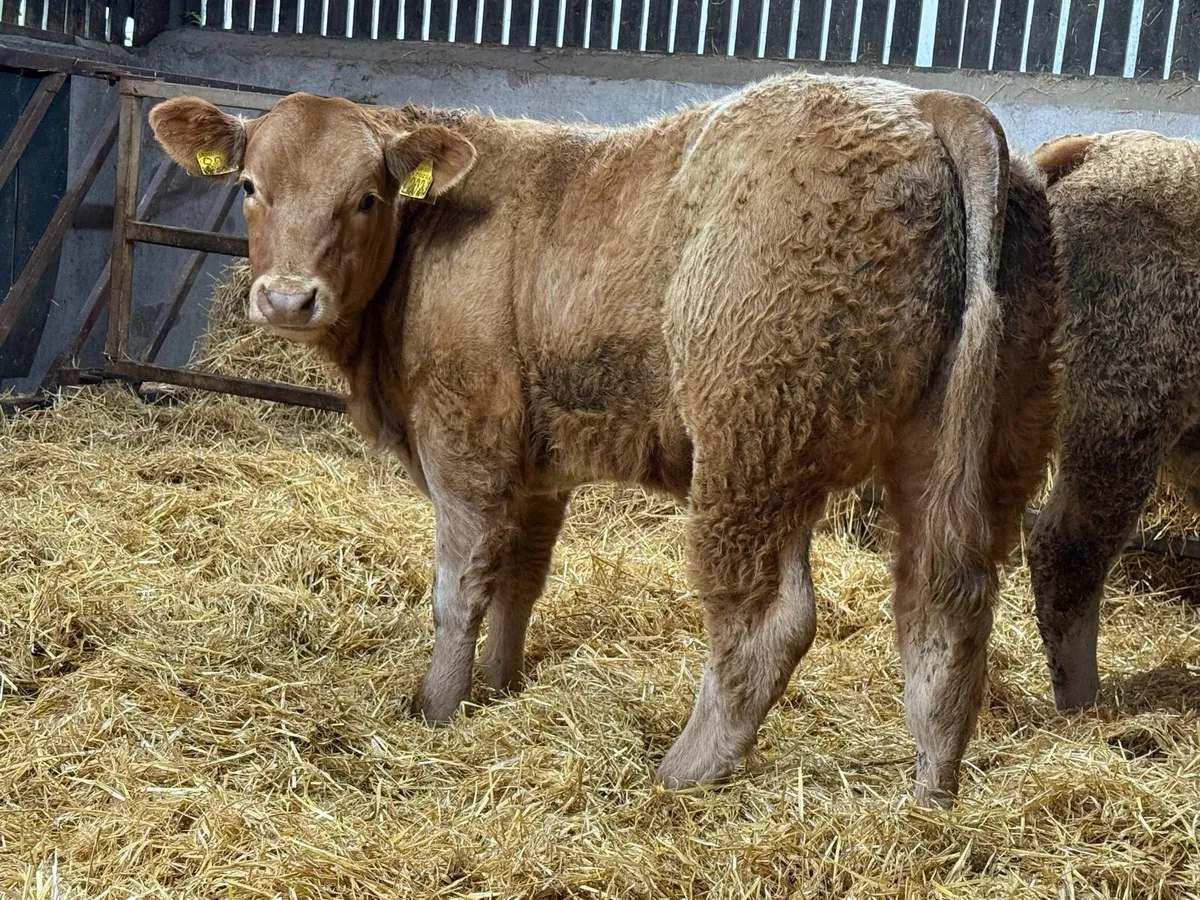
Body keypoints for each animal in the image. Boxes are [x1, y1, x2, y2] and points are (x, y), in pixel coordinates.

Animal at [149, 73, 1061, 806]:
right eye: (250, 185)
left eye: (367, 197)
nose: (286, 297)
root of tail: (928, 104)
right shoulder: (537, 468)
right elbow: (521, 579)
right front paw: (501, 687)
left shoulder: (465, 443)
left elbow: (459, 588)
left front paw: (435, 709)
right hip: (973, 452)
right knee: (946, 604)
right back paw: (931, 791)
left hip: (755, 445)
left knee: (769, 617)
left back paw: (685, 771)